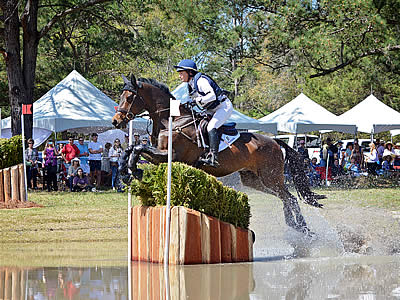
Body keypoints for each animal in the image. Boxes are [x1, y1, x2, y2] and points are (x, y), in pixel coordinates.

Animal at [111, 75, 324, 234]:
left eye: (129, 98)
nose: (116, 121)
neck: (171, 120)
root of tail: (274, 142)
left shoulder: (171, 155)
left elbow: (137, 148)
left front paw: (132, 172)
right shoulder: (159, 157)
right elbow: (132, 149)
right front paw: (127, 171)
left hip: (271, 177)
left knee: (290, 197)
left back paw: (302, 227)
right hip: (254, 180)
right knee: (285, 197)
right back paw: (295, 226)